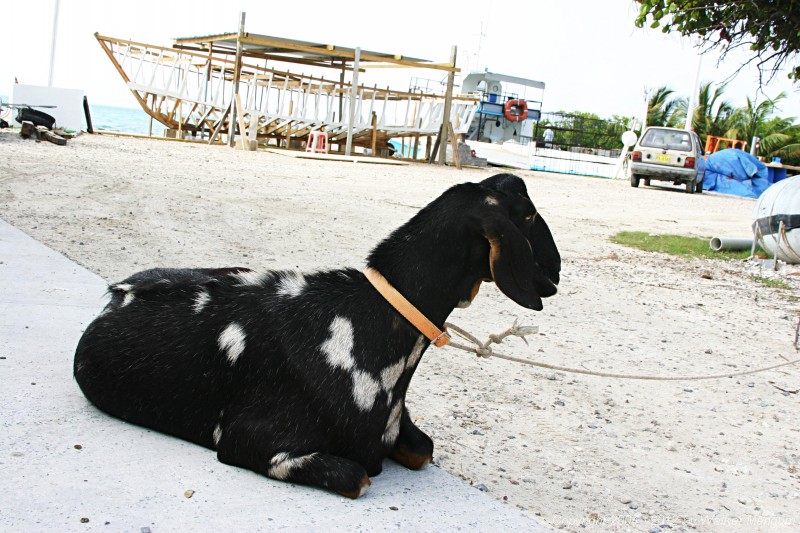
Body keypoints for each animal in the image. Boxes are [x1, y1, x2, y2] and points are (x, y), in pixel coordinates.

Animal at [76, 172, 564, 496]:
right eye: (529, 214)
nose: (558, 270)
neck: (364, 323)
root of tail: (117, 291)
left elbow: (423, 448)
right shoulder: (254, 442)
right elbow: (358, 475)